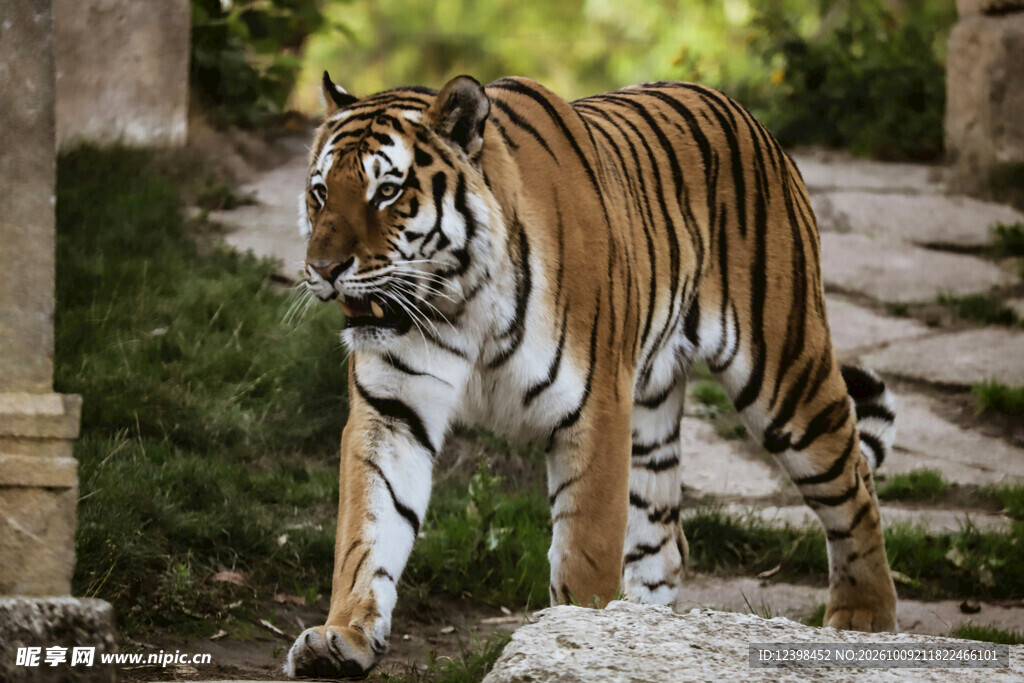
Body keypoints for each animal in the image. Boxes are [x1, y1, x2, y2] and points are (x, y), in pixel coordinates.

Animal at [283, 72, 898, 678]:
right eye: (320, 193)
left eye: (387, 192)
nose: (323, 269)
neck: (458, 302)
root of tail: (745, 114)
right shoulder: (391, 411)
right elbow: (367, 530)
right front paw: (342, 637)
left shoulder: (596, 409)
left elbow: (586, 553)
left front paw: (574, 637)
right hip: (652, 412)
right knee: (664, 541)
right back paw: (643, 633)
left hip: (785, 374)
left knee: (853, 487)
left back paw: (863, 619)